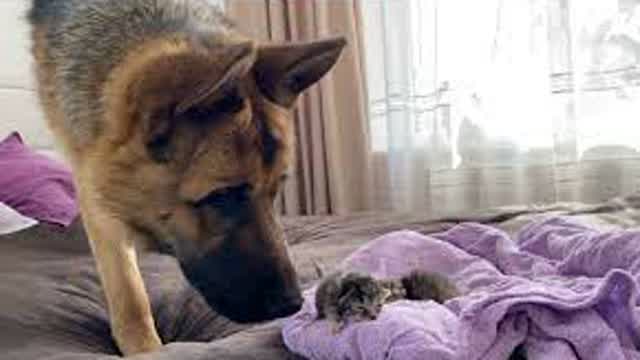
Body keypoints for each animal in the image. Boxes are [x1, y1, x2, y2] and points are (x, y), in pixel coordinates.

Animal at [26, 0, 344, 354]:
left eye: (276, 190)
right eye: (222, 196)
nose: (293, 304)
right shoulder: (92, 183)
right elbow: (127, 289)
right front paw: (145, 348)